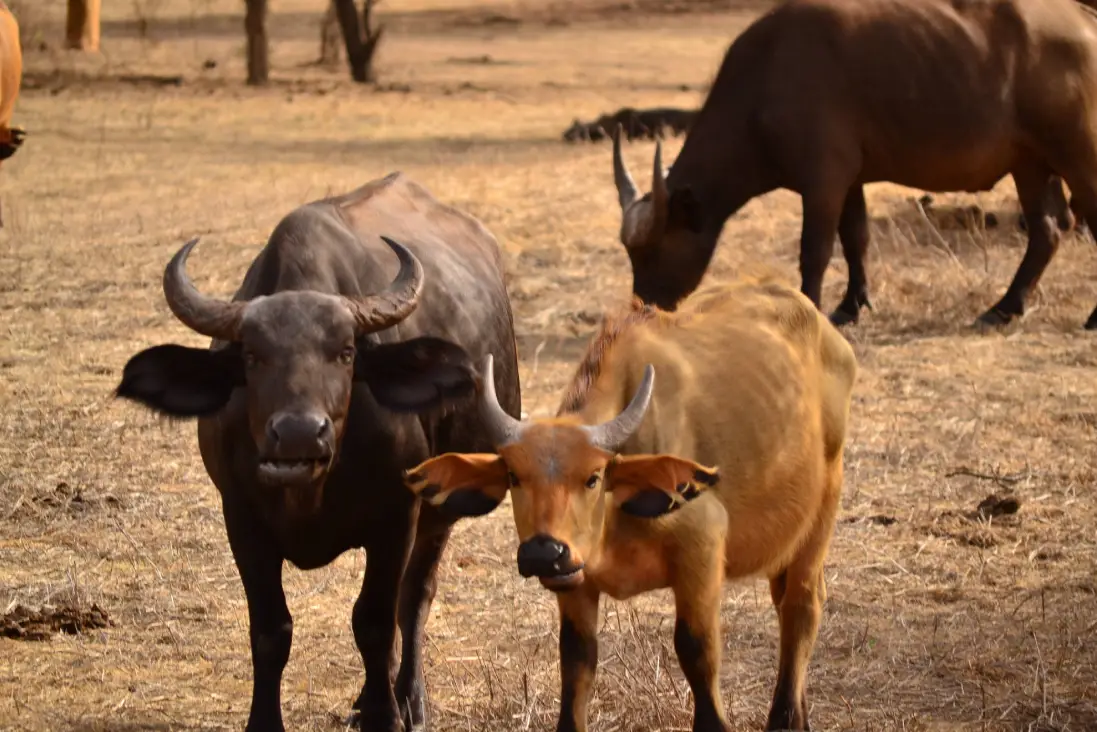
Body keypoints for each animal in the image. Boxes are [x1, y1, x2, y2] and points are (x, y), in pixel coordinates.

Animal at [114, 173, 522, 732]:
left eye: (346, 353)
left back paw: (409, 699)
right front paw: (266, 721)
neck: (310, 491)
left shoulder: (397, 516)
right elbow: (271, 630)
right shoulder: (241, 518)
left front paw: (384, 714)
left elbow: (374, 621)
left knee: (414, 596)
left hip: (441, 508)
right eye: (252, 355)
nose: (299, 433)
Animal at [403, 276, 855, 732]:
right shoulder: (576, 581)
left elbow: (696, 647)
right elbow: (576, 659)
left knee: (801, 606)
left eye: (593, 477)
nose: (544, 552)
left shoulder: (702, 552)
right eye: (514, 476)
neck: (616, 517)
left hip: (823, 510)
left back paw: (784, 715)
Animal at [614, 0, 1097, 329]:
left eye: (654, 250)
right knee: (1050, 229)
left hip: (1077, 155)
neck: (764, 81)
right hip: (1030, 163)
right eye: (631, 254)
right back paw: (1004, 307)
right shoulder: (850, 182)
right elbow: (855, 239)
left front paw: (810, 309)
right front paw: (852, 305)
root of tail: (1082, 18)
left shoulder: (822, 182)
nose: (642, 308)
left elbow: (815, 251)